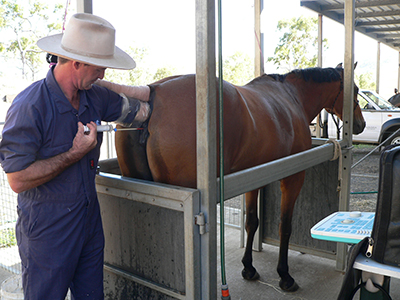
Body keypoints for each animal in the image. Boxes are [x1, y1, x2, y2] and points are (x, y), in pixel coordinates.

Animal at [113, 63, 366, 290]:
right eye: (354, 89)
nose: (361, 124)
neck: (292, 97)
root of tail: (152, 94)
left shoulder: (252, 179)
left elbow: (251, 222)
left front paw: (249, 267)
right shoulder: (293, 178)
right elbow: (285, 226)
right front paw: (284, 275)